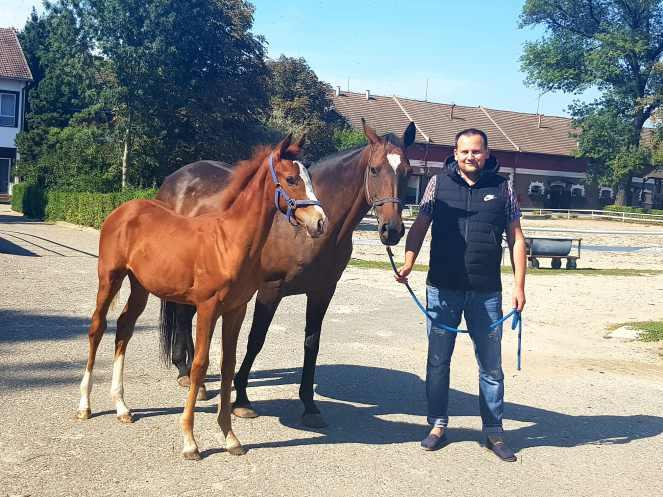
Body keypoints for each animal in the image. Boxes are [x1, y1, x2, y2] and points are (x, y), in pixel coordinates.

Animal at [76, 134, 328, 460]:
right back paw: (85, 405)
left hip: (140, 286)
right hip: (110, 278)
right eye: (291, 179)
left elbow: (228, 365)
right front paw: (190, 441)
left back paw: (122, 407)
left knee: (124, 328)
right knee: (97, 327)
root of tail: (123, 210)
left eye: (308, 176)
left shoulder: (236, 310)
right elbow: (199, 366)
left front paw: (230, 438)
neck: (230, 241)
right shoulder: (208, 308)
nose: (320, 222)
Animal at [157, 119, 416, 426]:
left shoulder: (323, 291)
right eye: (375, 169)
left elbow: (311, 343)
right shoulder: (271, 290)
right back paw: (187, 375)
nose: (392, 230)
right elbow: (256, 340)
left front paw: (309, 405)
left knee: (185, 314)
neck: (302, 230)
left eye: (408, 171)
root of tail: (175, 179)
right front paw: (242, 399)